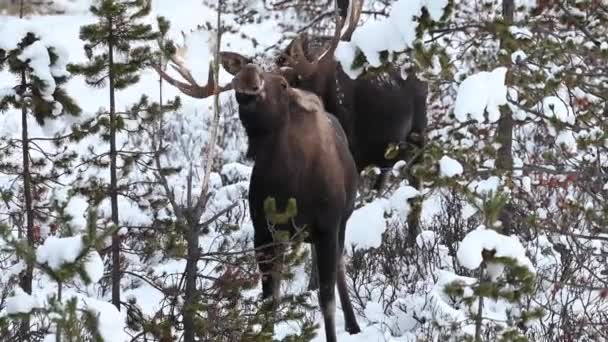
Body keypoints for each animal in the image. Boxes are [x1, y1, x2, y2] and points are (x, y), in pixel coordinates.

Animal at [153, 18, 360, 342]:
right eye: (235, 81)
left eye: (283, 84)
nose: (248, 74)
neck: (290, 184)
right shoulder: (263, 231)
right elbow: (269, 300)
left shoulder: (328, 224)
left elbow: (326, 299)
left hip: (341, 219)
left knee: (339, 266)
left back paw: (353, 324)